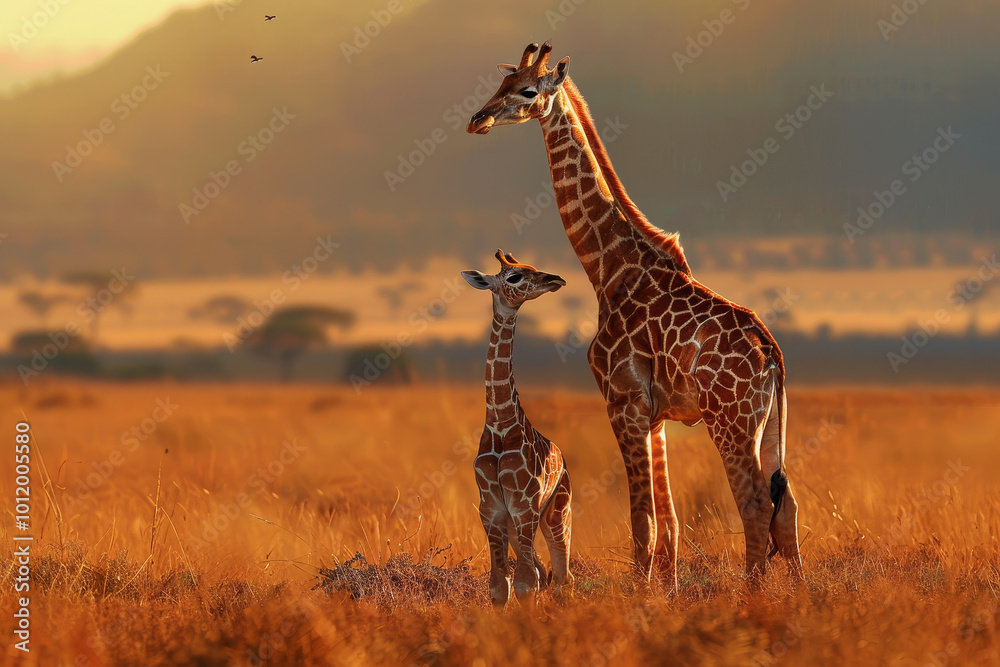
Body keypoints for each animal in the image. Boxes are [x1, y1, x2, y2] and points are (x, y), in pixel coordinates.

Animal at [462, 249, 574, 608]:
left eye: (533, 268)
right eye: (514, 276)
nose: (555, 279)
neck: (500, 422)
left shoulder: (525, 505)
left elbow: (525, 582)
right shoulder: (492, 510)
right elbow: (500, 585)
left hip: (556, 513)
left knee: (563, 576)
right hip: (520, 523)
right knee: (545, 572)